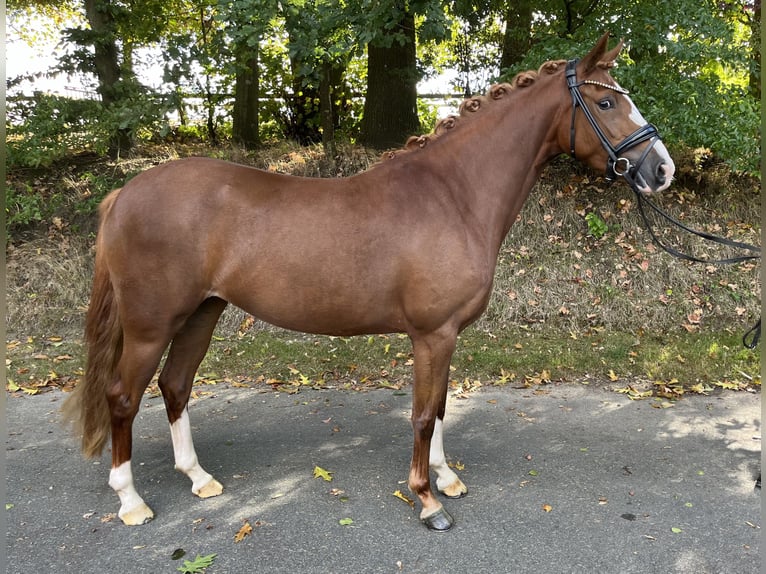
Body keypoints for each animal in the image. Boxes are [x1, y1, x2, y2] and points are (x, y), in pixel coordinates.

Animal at [63, 33, 676, 532]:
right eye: (606, 102)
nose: (662, 170)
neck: (452, 195)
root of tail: (125, 194)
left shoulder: (445, 336)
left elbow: (442, 406)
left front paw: (446, 478)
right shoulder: (432, 334)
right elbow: (424, 414)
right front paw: (427, 501)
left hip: (201, 313)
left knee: (176, 386)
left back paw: (198, 477)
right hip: (151, 324)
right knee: (124, 396)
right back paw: (131, 502)